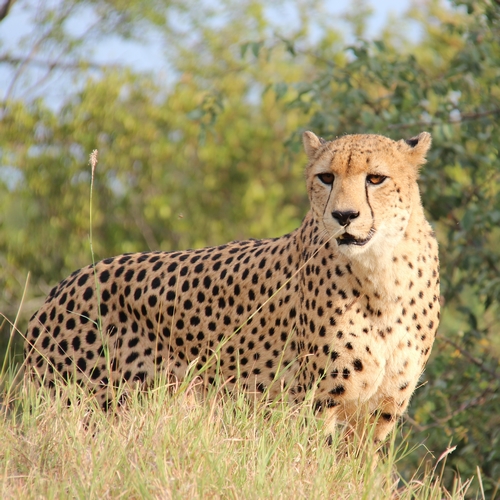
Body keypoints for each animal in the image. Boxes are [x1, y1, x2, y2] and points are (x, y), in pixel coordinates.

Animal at [24, 132, 438, 442]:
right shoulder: (313, 404)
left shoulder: (378, 412)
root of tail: (66, 283)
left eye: (375, 178)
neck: (382, 273)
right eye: (326, 177)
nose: (343, 216)